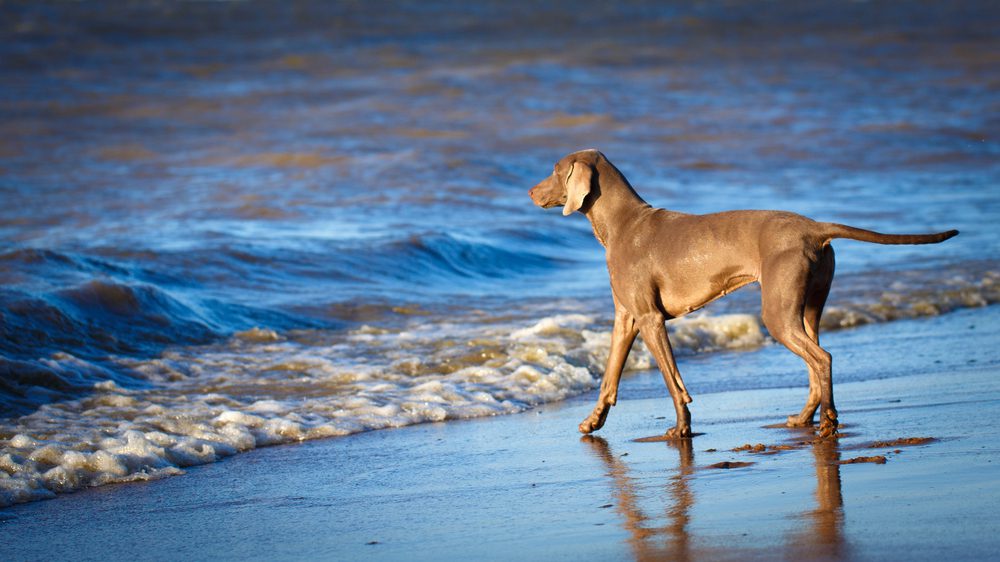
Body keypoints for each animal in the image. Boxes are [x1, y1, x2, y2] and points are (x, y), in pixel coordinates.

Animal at [532, 149, 960, 438]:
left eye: (554, 170)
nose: (530, 191)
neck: (623, 223)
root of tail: (815, 227)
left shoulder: (651, 319)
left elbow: (674, 381)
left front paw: (681, 429)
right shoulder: (626, 316)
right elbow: (609, 374)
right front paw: (593, 420)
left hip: (778, 310)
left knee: (821, 359)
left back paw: (827, 422)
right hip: (807, 307)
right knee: (816, 360)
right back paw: (804, 418)